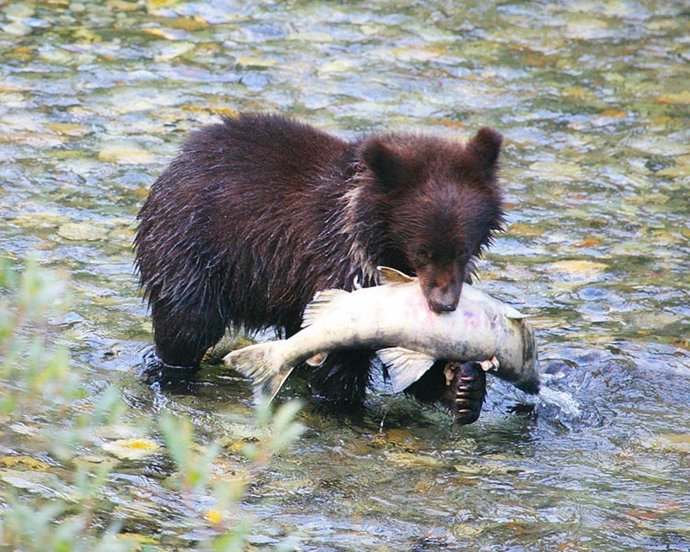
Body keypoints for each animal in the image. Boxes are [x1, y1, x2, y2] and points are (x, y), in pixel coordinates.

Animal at [134, 113, 504, 420]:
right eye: (422, 251)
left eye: (462, 249)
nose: (444, 303)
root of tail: (179, 158)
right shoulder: (338, 267)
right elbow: (341, 360)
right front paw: (344, 406)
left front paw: (464, 389)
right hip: (195, 246)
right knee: (189, 322)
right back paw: (173, 374)